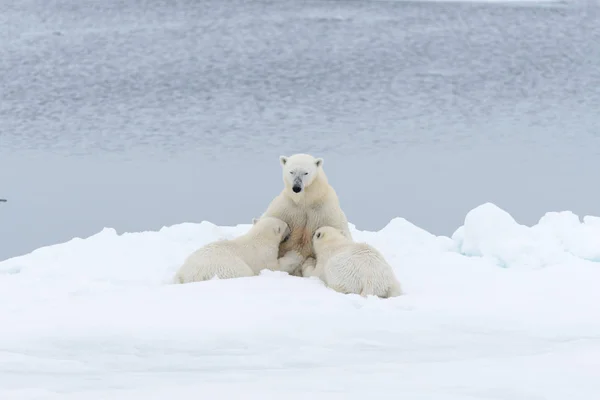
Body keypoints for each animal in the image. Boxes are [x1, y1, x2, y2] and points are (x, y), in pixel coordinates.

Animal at [173, 216, 304, 284]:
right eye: (286, 225)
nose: (290, 228)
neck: (259, 238)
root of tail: (183, 274)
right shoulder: (263, 255)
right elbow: (275, 267)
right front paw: (296, 255)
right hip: (224, 267)